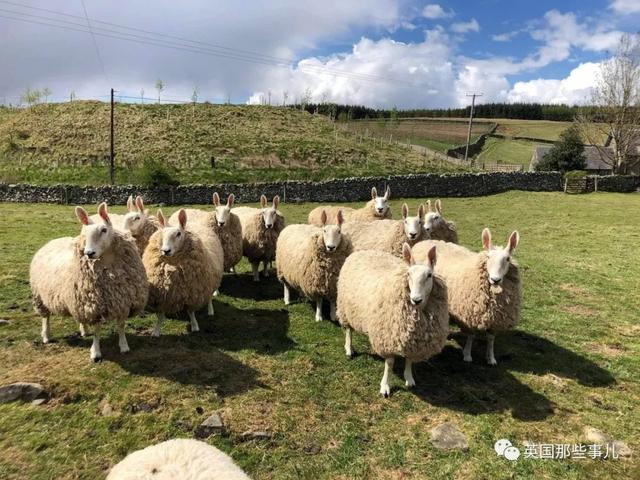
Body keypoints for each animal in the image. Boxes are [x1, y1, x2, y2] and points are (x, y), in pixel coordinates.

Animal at [29, 202, 148, 360]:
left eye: (104, 230)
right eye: (85, 233)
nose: (89, 253)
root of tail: (53, 241)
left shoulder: (122, 301)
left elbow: (121, 325)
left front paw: (124, 346)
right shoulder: (94, 305)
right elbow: (97, 330)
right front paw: (95, 352)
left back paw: (83, 330)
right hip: (40, 297)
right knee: (45, 317)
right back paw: (46, 336)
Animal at [144, 210, 224, 338]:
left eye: (178, 234)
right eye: (162, 234)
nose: (165, 251)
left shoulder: (192, 293)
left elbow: (191, 312)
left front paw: (195, 326)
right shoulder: (162, 294)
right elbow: (160, 315)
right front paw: (156, 331)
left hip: (209, 281)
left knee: (209, 297)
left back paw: (210, 310)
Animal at [338, 244, 448, 398]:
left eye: (429, 275)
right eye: (408, 274)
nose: (416, 299)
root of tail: (363, 251)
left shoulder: (413, 340)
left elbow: (409, 359)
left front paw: (409, 378)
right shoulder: (388, 337)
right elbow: (389, 364)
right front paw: (385, 386)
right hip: (345, 309)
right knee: (348, 330)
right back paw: (349, 349)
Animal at [412, 228, 524, 364]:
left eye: (507, 259)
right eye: (488, 257)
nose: (495, 279)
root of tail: (426, 241)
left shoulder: (495, 319)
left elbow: (491, 339)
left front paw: (491, 358)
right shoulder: (468, 316)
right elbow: (471, 336)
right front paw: (467, 355)